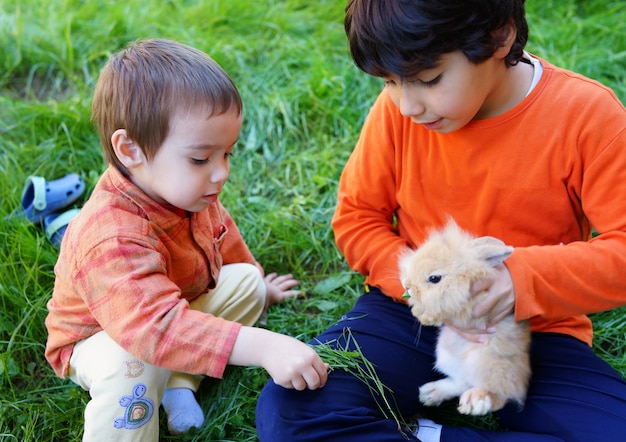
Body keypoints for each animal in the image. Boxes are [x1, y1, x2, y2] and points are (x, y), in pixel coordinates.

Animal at [400, 219, 528, 416]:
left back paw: (476, 401)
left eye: (434, 278)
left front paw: (425, 316)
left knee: (501, 393)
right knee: (462, 382)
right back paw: (430, 393)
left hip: (488, 363)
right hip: (446, 354)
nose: (407, 285)